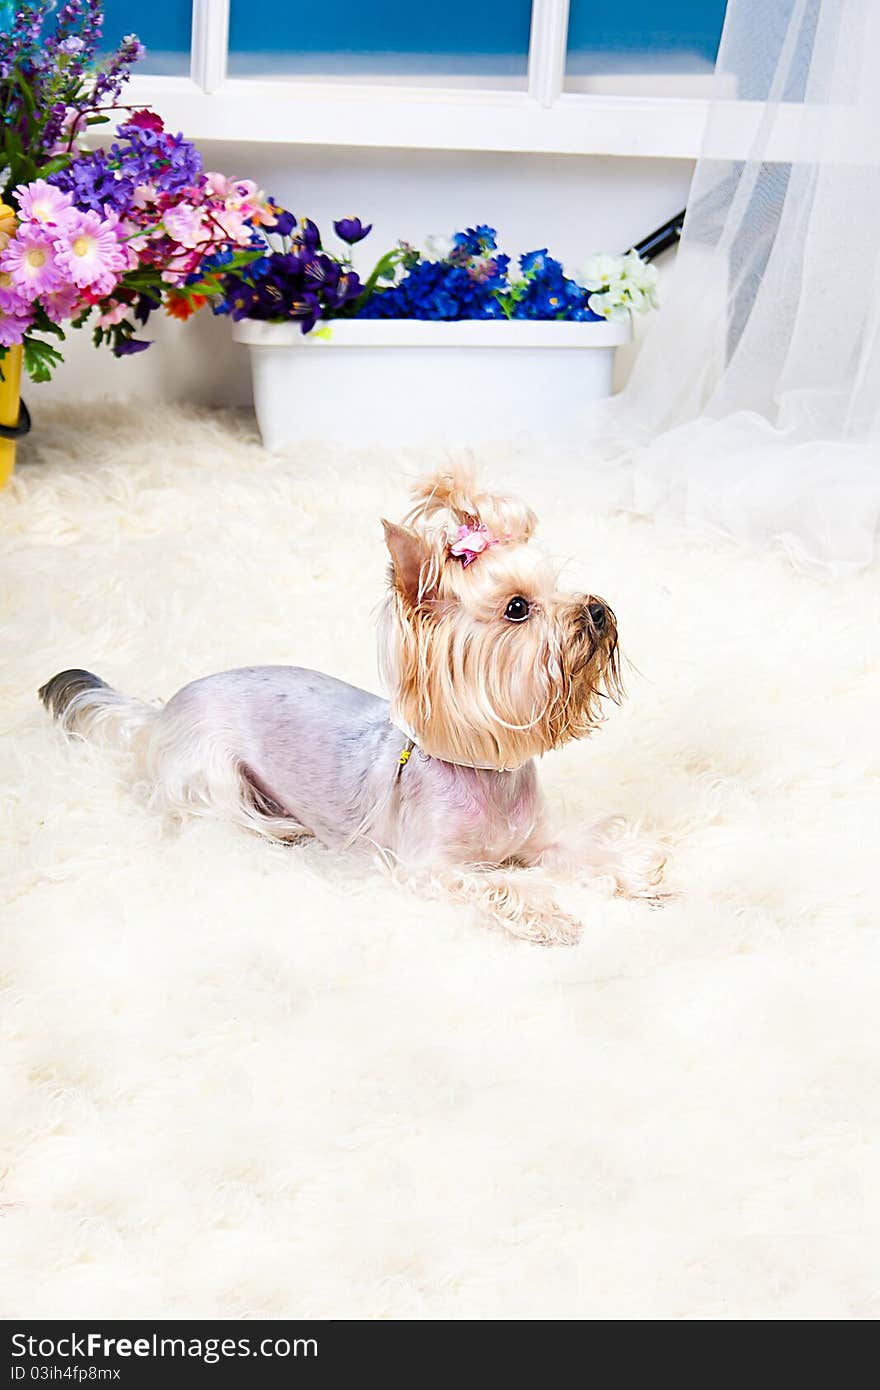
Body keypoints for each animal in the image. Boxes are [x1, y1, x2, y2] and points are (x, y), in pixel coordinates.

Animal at [37, 469, 661, 945]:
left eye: (559, 587)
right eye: (516, 608)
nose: (597, 611)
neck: (486, 774)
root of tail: (162, 712)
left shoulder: (537, 840)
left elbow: (585, 847)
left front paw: (638, 871)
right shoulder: (428, 867)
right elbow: (495, 882)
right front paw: (548, 914)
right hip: (210, 771)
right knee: (220, 810)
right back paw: (283, 827)